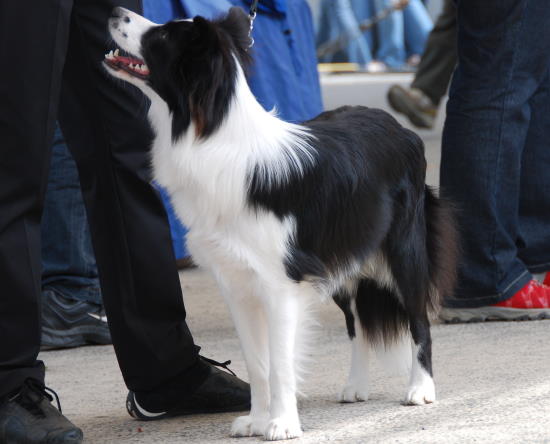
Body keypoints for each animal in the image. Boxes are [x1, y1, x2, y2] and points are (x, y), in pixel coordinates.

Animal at [105, 6, 460, 440]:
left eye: (163, 36)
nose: (115, 11)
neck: (213, 133)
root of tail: (397, 126)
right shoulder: (237, 284)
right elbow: (258, 362)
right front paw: (258, 420)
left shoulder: (280, 284)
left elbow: (280, 362)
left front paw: (283, 423)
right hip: (339, 263)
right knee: (357, 323)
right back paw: (356, 385)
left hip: (403, 249)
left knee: (418, 319)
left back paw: (420, 389)